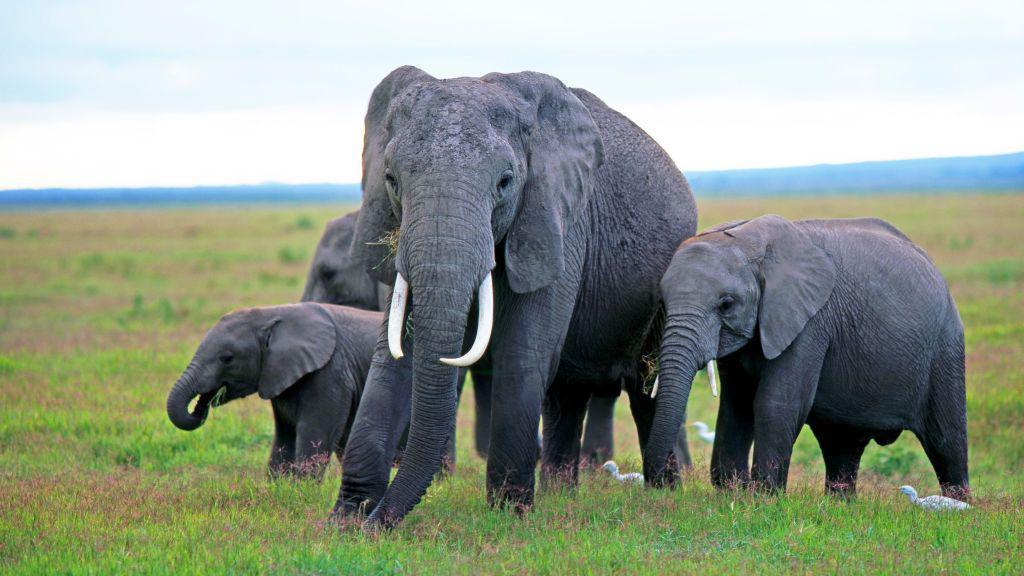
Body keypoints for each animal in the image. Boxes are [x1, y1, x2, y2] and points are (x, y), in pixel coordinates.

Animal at [166, 302, 381, 480]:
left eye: (227, 358)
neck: (270, 314)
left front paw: (303, 491)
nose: (200, 406)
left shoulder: (330, 374)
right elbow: (284, 439)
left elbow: (313, 437)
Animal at [644, 215, 969, 500]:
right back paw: (840, 504)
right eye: (662, 302)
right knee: (841, 444)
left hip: (945, 346)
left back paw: (959, 506)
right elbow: (736, 405)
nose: (658, 485)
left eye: (726, 304)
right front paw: (731, 492)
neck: (748, 240)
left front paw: (763, 499)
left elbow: (775, 404)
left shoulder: (810, 322)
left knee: (946, 440)